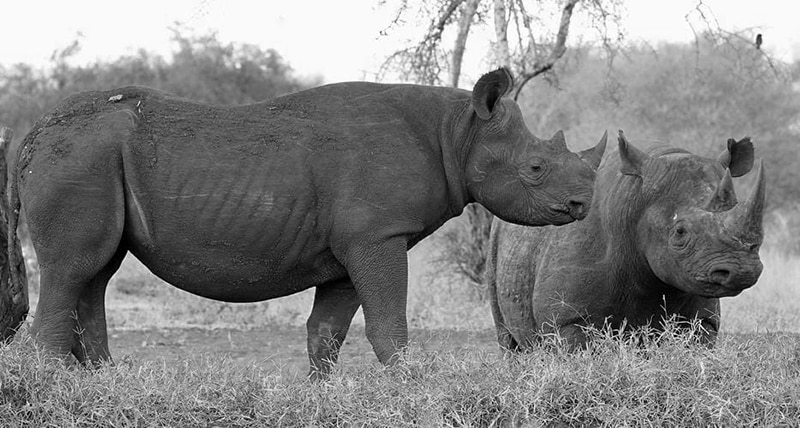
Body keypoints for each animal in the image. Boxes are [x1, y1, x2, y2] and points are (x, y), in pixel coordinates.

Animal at [4, 68, 608, 380]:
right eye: (536, 168)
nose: (583, 204)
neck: (457, 132)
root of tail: (30, 137)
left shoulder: (352, 245)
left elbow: (327, 332)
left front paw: (325, 394)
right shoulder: (378, 234)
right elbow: (388, 324)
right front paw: (409, 389)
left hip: (89, 159)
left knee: (96, 273)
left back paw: (105, 384)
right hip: (77, 157)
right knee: (73, 269)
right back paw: (61, 390)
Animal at [488, 131, 768, 352]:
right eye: (679, 233)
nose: (741, 271)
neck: (635, 201)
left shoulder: (703, 319)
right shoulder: (567, 319)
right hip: (496, 237)